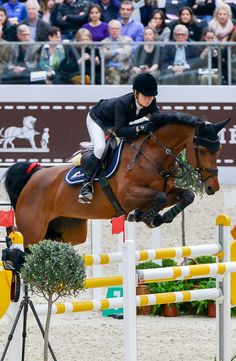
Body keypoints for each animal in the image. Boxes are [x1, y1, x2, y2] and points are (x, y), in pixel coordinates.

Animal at [2, 112, 230, 248]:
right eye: (202, 150)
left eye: (219, 149)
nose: (213, 187)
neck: (153, 155)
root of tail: (34, 176)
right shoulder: (127, 196)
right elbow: (159, 198)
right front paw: (144, 216)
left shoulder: (169, 190)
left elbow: (186, 195)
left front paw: (156, 217)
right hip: (33, 232)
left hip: (67, 233)